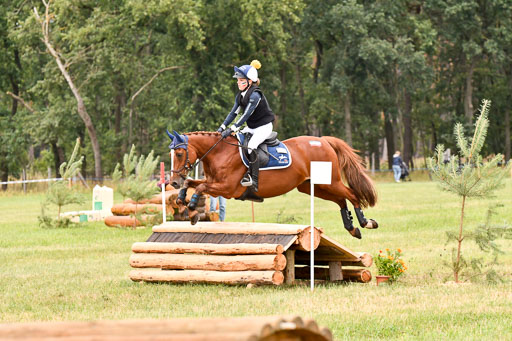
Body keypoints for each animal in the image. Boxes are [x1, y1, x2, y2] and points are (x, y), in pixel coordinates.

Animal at [166, 131, 378, 239]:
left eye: (179, 154)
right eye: (171, 154)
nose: (173, 181)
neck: (219, 152)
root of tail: (323, 141)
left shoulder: (227, 188)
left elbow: (199, 187)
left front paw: (192, 209)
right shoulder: (214, 183)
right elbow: (191, 182)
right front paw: (182, 201)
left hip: (330, 182)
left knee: (351, 195)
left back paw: (365, 222)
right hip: (314, 186)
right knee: (341, 199)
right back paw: (352, 228)